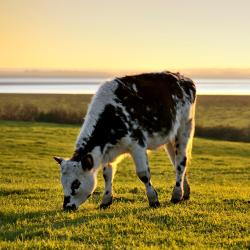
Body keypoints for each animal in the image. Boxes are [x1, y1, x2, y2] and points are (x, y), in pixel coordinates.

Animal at [53, 71, 196, 211]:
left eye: (76, 184)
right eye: (62, 183)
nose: (67, 207)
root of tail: (182, 77)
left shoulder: (137, 144)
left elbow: (143, 174)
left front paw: (153, 200)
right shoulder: (107, 152)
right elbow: (107, 175)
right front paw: (105, 201)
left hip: (184, 128)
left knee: (181, 162)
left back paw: (176, 195)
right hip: (170, 138)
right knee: (176, 162)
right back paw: (185, 193)